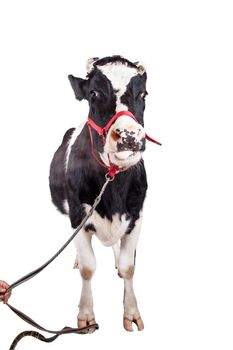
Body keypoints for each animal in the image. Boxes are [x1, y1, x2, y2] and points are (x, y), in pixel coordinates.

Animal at [49, 56, 150, 332]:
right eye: (93, 93)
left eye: (143, 94)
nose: (129, 136)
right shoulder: (78, 217)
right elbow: (88, 268)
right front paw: (85, 316)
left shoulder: (136, 216)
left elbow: (129, 267)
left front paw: (131, 312)